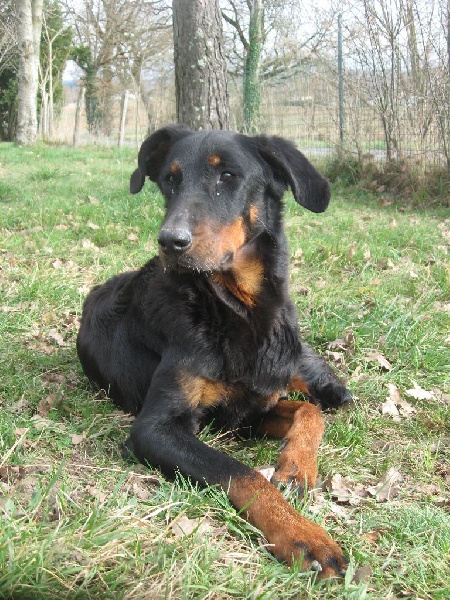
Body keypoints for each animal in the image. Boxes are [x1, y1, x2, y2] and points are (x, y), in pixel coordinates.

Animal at [77, 124, 352, 580]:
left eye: (228, 176)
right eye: (169, 180)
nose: (170, 241)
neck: (236, 309)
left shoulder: (252, 408)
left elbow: (308, 413)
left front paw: (296, 469)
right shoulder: (158, 428)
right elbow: (240, 472)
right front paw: (303, 535)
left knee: (319, 391)